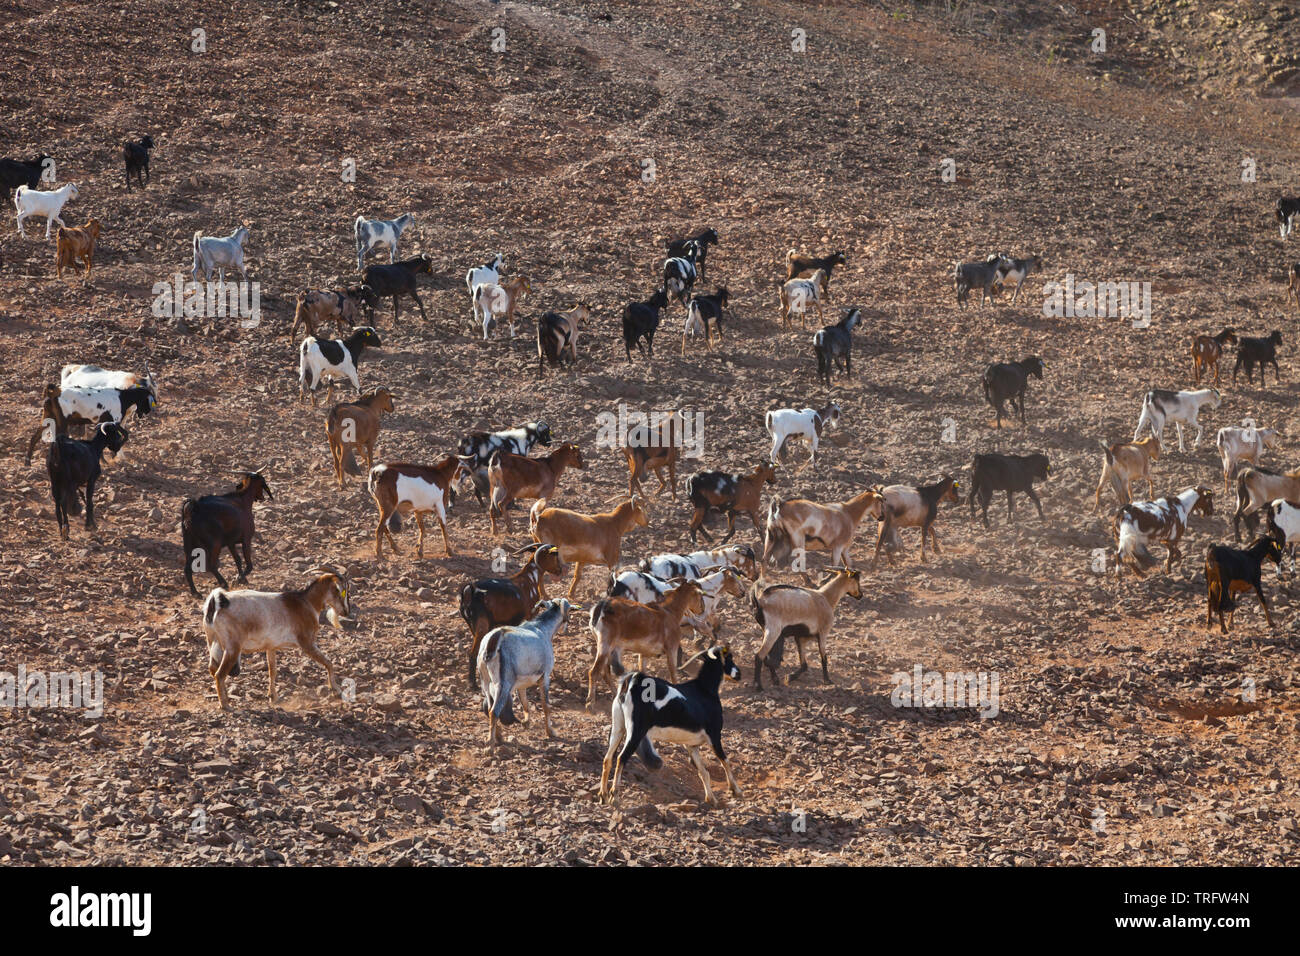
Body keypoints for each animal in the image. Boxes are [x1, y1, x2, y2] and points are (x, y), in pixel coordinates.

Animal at [200, 567, 351, 712]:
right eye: (343, 591)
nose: (346, 611)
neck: (306, 603)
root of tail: (216, 603)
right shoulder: (307, 643)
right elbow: (328, 663)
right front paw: (336, 690)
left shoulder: (271, 647)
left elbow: (272, 671)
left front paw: (273, 697)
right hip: (232, 648)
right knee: (219, 674)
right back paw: (226, 706)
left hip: (212, 641)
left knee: (212, 669)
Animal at [460, 546, 566, 686]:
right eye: (555, 554)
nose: (560, 570)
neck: (530, 579)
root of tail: (470, 591)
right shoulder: (530, 617)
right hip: (482, 625)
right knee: (473, 653)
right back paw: (473, 684)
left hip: (474, 626)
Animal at [478, 598, 579, 749]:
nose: (566, 628)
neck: (542, 628)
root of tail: (493, 640)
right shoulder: (545, 676)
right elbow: (546, 705)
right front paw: (550, 732)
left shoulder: (521, 683)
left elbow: (525, 702)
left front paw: (526, 722)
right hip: (503, 684)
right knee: (494, 711)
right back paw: (490, 747)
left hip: (486, 682)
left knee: (489, 708)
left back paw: (499, 737)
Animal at [598, 642, 743, 806]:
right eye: (729, 657)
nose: (738, 674)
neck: (705, 690)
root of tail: (631, 684)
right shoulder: (714, 735)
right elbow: (725, 761)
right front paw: (736, 791)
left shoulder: (691, 745)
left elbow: (703, 771)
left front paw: (711, 799)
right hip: (636, 730)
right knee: (621, 757)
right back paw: (614, 796)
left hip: (619, 726)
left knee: (608, 758)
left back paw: (603, 795)